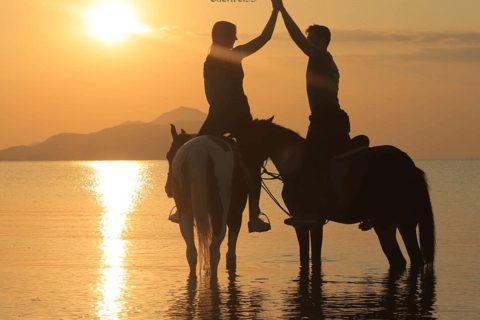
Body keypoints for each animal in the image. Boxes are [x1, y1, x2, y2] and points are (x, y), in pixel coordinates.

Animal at [165, 126, 249, 278]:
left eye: (169, 155)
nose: (168, 189)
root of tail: (199, 149)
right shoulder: (236, 216)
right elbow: (231, 255)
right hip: (220, 214)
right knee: (214, 250)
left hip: (185, 212)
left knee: (191, 252)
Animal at [249, 117, 436, 270]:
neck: (297, 166)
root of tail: (409, 166)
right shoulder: (315, 222)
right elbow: (314, 256)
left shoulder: (301, 221)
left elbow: (305, 256)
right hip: (406, 222)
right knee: (414, 259)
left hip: (384, 223)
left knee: (398, 259)